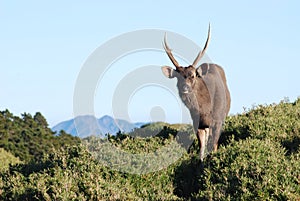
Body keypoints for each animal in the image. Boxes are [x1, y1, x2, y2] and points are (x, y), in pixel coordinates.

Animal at [162, 25, 230, 161]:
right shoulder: (196, 123)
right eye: (178, 77)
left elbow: (214, 145)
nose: (185, 87)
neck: (205, 109)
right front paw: (201, 161)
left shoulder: (218, 120)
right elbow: (201, 147)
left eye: (193, 76)